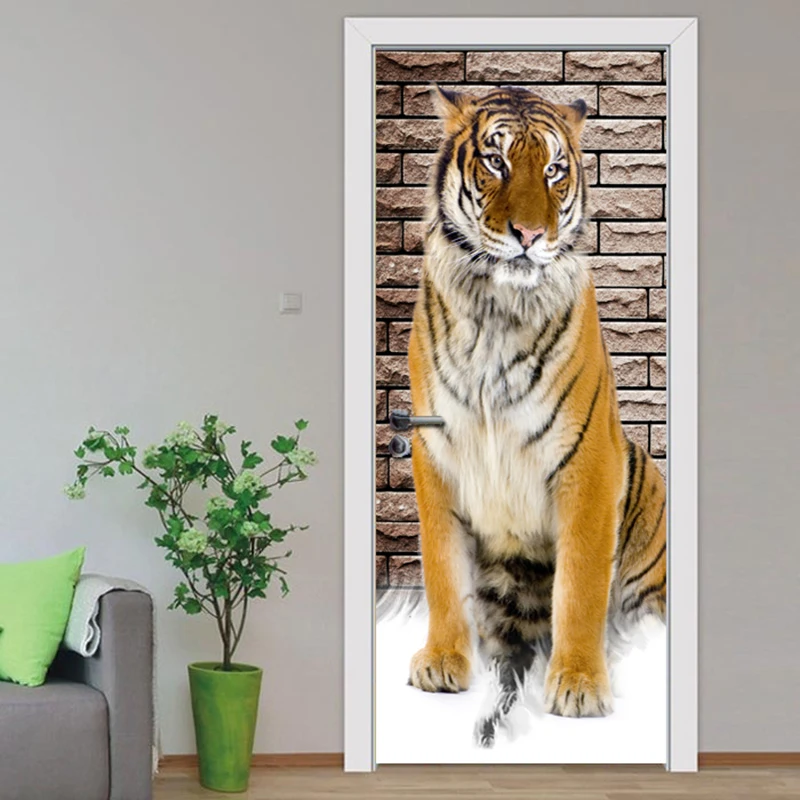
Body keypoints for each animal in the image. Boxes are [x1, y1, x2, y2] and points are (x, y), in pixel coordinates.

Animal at [405, 85, 667, 747]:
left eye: (553, 170)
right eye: (496, 163)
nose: (528, 233)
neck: (497, 310)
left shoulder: (588, 464)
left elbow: (580, 585)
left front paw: (578, 684)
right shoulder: (435, 455)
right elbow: (442, 569)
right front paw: (443, 661)